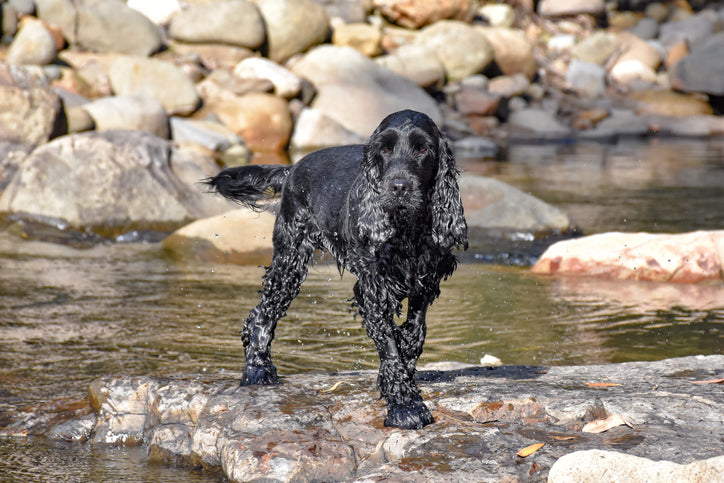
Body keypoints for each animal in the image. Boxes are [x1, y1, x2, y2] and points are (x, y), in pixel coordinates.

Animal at [206, 108, 466, 428]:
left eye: (422, 149)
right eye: (384, 149)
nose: (399, 187)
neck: (407, 231)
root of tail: (293, 167)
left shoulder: (425, 282)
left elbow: (413, 335)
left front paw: (397, 382)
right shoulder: (372, 288)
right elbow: (390, 346)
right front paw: (405, 407)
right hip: (290, 260)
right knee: (262, 314)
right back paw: (257, 369)